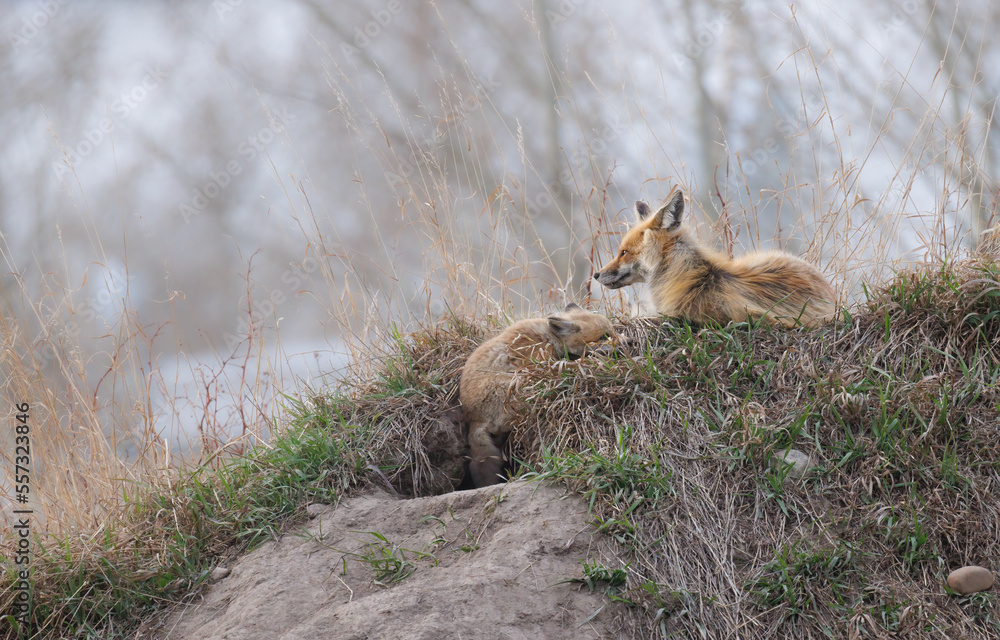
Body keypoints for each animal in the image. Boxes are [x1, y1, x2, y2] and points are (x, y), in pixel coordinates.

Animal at [461, 304, 615, 488]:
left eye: (614, 330)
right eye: (604, 336)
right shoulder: (542, 363)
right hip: (523, 386)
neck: (548, 337)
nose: (629, 341)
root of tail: (473, 418)